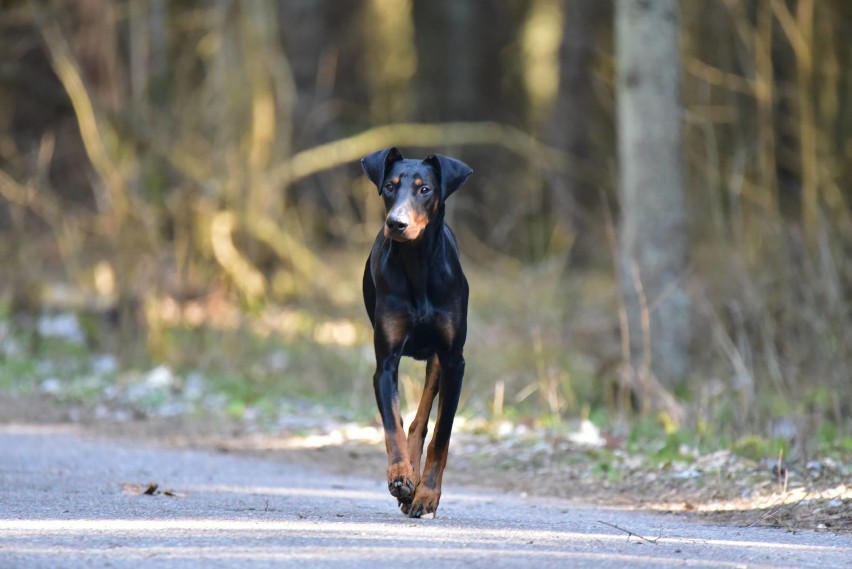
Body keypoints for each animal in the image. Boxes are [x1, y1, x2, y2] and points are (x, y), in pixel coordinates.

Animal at [362, 148, 472, 520]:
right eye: (389, 186)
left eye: (425, 190)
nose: (396, 223)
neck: (417, 264)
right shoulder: (386, 363)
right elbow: (391, 424)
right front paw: (401, 476)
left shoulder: (454, 361)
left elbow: (442, 434)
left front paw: (427, 495)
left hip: (438, 360)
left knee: (422, 419)